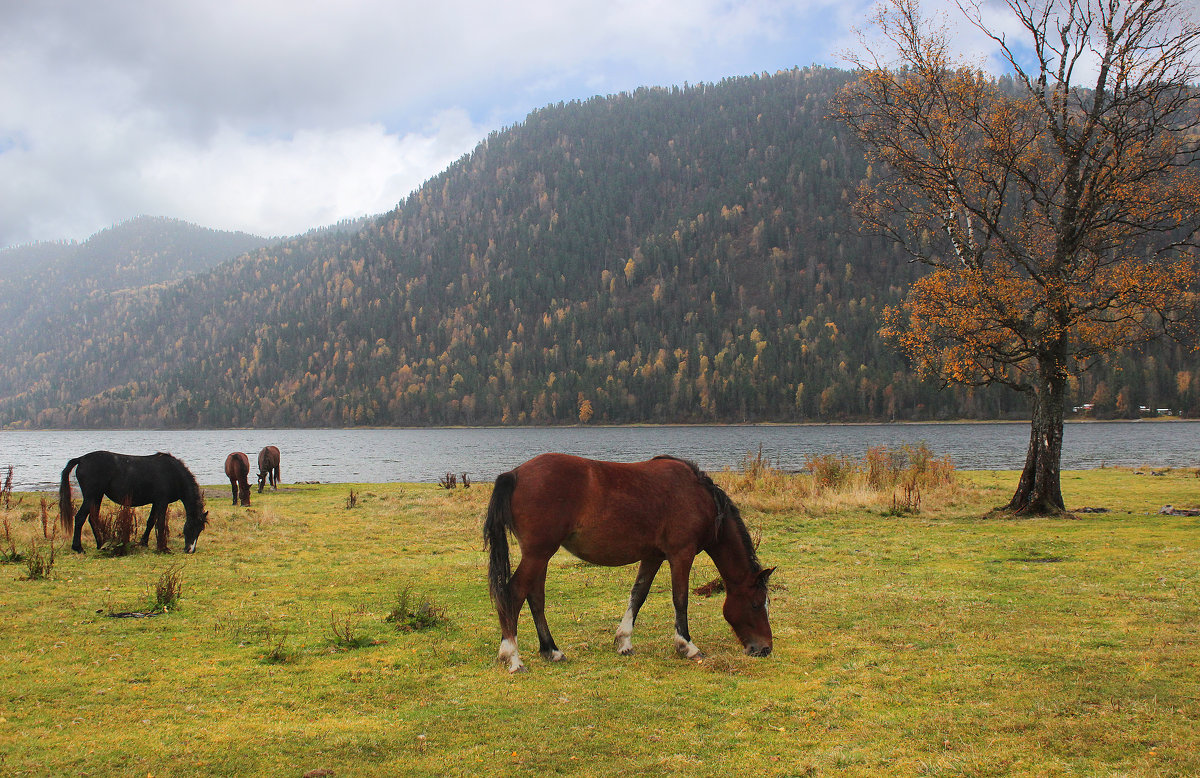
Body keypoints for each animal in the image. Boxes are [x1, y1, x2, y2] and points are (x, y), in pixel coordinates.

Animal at [59, 449, 208, 552]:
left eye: (200, 529)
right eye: (191, 526)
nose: (190, 550)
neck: (172, 473)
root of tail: (81, 459)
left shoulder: (156, 502)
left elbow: (151, 521)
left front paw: (144, 543)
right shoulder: (162, 501)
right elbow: (160, 523)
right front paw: (163, 548)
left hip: (97, 496)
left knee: (93, 518)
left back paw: (101, 544)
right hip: (91, 496)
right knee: (80, 518)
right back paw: (78, 548)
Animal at [482, 453, 772, 672]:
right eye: (756, 604)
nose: (765, 648)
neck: (700, 498)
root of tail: (515, 474)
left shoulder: (653, 556)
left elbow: (638, 595)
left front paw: (624, 642)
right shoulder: (681, 554)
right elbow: (680, 599)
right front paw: (687, 646)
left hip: (540, 555)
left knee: (535, 598)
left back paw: (551, 650)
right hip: (537, 553)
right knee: (514, 594)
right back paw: (512, 657)